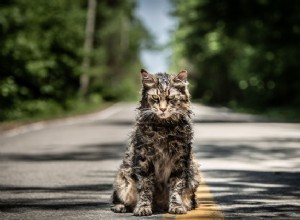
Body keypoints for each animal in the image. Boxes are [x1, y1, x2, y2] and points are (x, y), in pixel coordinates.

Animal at [110, 69, 199, 217]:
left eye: (171, 98)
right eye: (155, 98)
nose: (162, 109)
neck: (163, 128)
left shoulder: (180, 161)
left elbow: (176, 187)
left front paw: (176, 206)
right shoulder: (144, 160)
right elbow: (145, 188)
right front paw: (143, 208)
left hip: (194, 175)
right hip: (122, 178)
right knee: (117, 198)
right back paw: (120, 207)